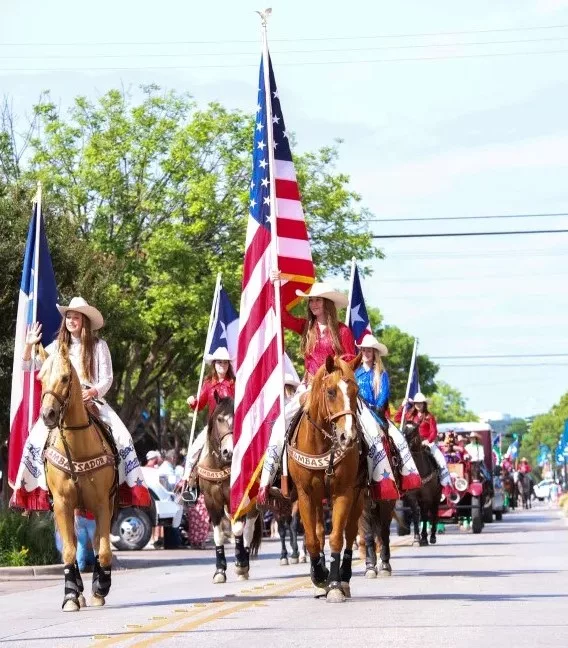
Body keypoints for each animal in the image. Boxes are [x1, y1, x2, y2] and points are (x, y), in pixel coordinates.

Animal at [38, 344, 118, 612]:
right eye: (40, 378)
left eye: (65, 377)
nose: (48, 414)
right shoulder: (62, 504)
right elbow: (69, 551)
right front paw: (71, 596)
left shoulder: (103, 503)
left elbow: (103, 550)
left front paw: (100, 588)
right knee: (72, 543)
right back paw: (78, 591)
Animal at [196, 398, 262, 584]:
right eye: (219, 419)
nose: (229, 452)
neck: (220, 466)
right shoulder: (211, 502)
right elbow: (218, 535)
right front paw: (219, 571)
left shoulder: (238, 498)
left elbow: (239, 530)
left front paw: (241, 565)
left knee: (248, 531)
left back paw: (244, 565)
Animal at [288, 354, 364, 604]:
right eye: (331, 391)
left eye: (356, 391)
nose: (347, 437)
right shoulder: (304, 495)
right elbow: (312, 538)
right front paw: (319, 575)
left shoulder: (344, 492)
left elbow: (337, 537)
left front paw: (334, 585)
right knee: (320, 532)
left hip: (358, 496)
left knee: (350, 532)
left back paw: (344, 578)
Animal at [404, 420, 444, 548]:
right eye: (403, 430)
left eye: (414, 430)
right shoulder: (412, 497)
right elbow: (416, 515)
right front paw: (417, 538)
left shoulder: (427, 497)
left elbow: (425, 516)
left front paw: (425, 538)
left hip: (436, 496)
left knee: (434, 513)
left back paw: (432, 537)